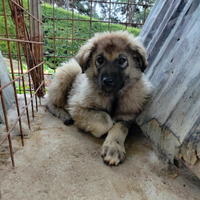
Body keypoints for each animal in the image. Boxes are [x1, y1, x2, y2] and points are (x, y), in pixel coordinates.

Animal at [46, 30, 152, 166]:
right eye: (100, 59)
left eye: (122, 60)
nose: (107, 81)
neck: (113, 95)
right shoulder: (77, 106)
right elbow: (105, 119)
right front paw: (98, 131)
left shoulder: (128, 116)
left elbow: (120, 128)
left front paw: (114, 148)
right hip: (69, 71)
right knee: (49, 102)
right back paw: (64, 114)